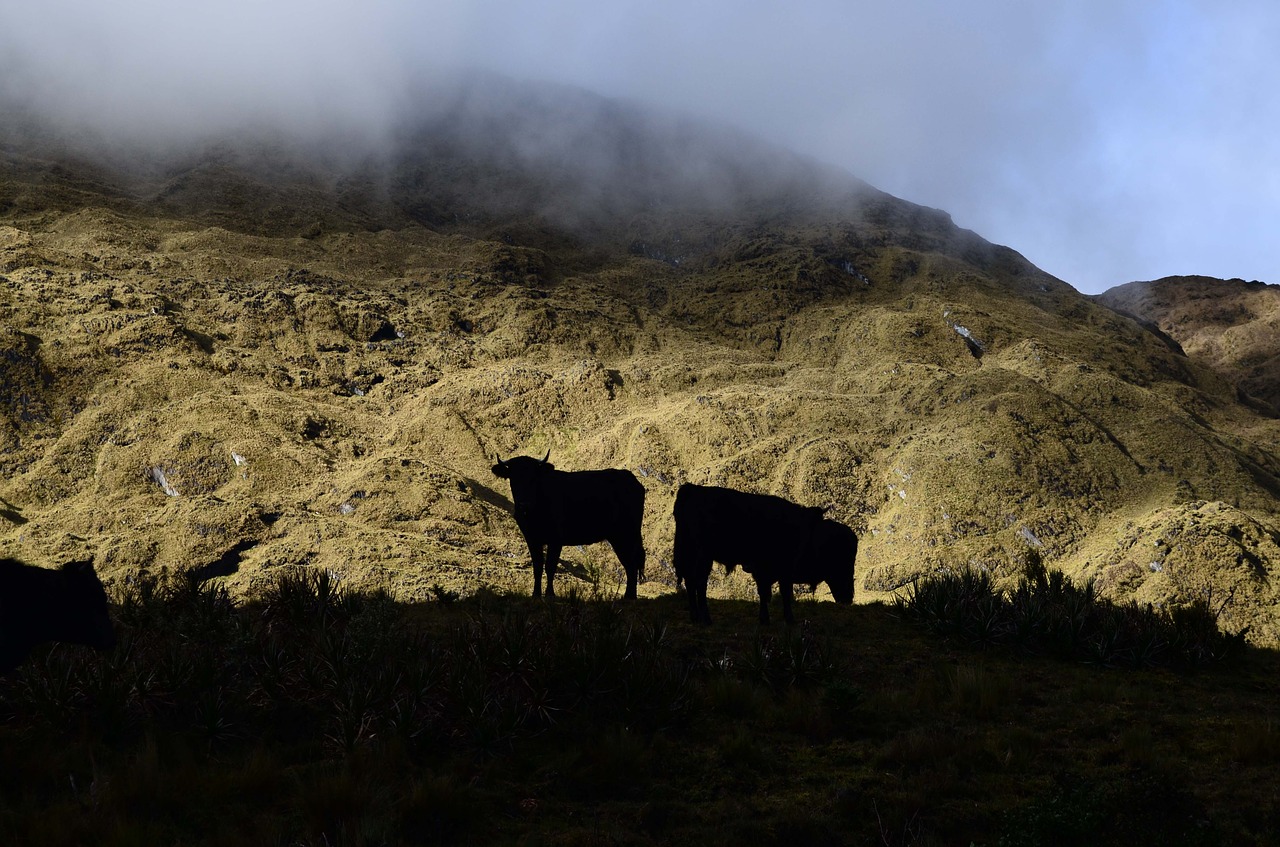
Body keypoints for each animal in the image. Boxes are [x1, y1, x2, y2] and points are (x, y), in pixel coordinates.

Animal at [491, 455, 645, 601]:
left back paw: (629, 597)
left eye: (533, 478)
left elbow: (550, 566)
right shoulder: (532, 538)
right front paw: (535, 595)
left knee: (631, 564)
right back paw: (630, 596)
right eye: (513, 478)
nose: (524, 503)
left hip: (626, 534)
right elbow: (538, 566)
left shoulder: (555, 539)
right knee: (631, 564)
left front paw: (550, 594)